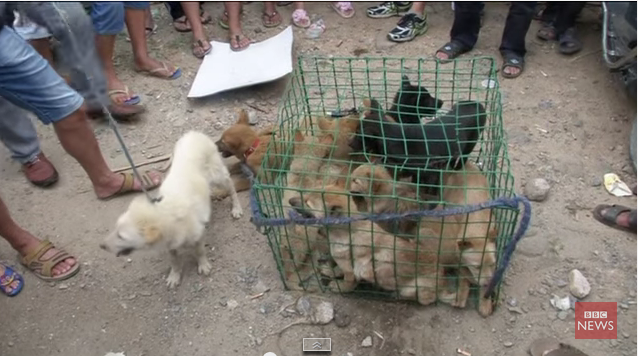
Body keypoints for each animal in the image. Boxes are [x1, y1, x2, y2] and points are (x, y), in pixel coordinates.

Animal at [101, 131, 244, 290]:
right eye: (115, 229)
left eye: (121, 236)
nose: (102, 246)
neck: (166, 214)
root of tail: (194, 133)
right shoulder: (170, 245)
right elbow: (174, 261)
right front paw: (174, 276)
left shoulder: (197, 235)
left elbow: (199, 251)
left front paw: (203, 265)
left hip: (219, 176)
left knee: (231, 186)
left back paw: (236, 207)